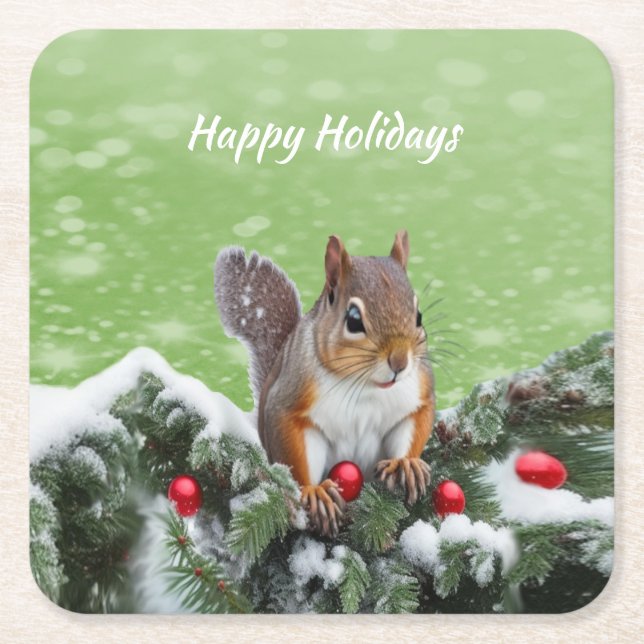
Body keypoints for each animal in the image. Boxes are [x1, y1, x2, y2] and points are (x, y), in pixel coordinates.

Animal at [214, 230, 434, 537]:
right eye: (353, 320)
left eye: (419, 316)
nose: (400, 362)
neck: (366, 385)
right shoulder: (289, 400)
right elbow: (293, 446)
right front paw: (313, 492)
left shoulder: (418, 393)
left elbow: (416, 421)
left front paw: (407, 463)